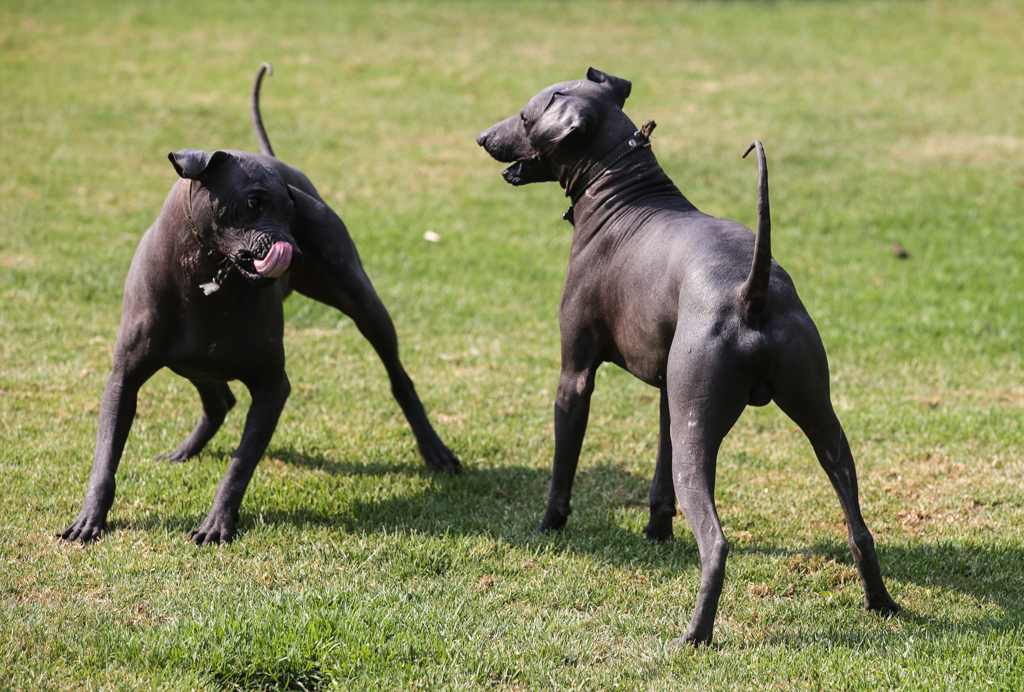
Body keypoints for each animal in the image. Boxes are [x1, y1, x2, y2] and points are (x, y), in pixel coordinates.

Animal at [477, 69, 897, 642]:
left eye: (524, 116)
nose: (482, 137)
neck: (623, 190)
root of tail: (752, 292)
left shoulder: (575, 375)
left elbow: (563, 464)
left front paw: (549, 526)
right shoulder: (666, 394)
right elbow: (658, 477)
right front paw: (655, 531)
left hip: (698, 436)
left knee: (716, 543)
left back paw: (695, 635)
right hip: (817, 420)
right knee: (860, 526)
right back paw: (882, 604)